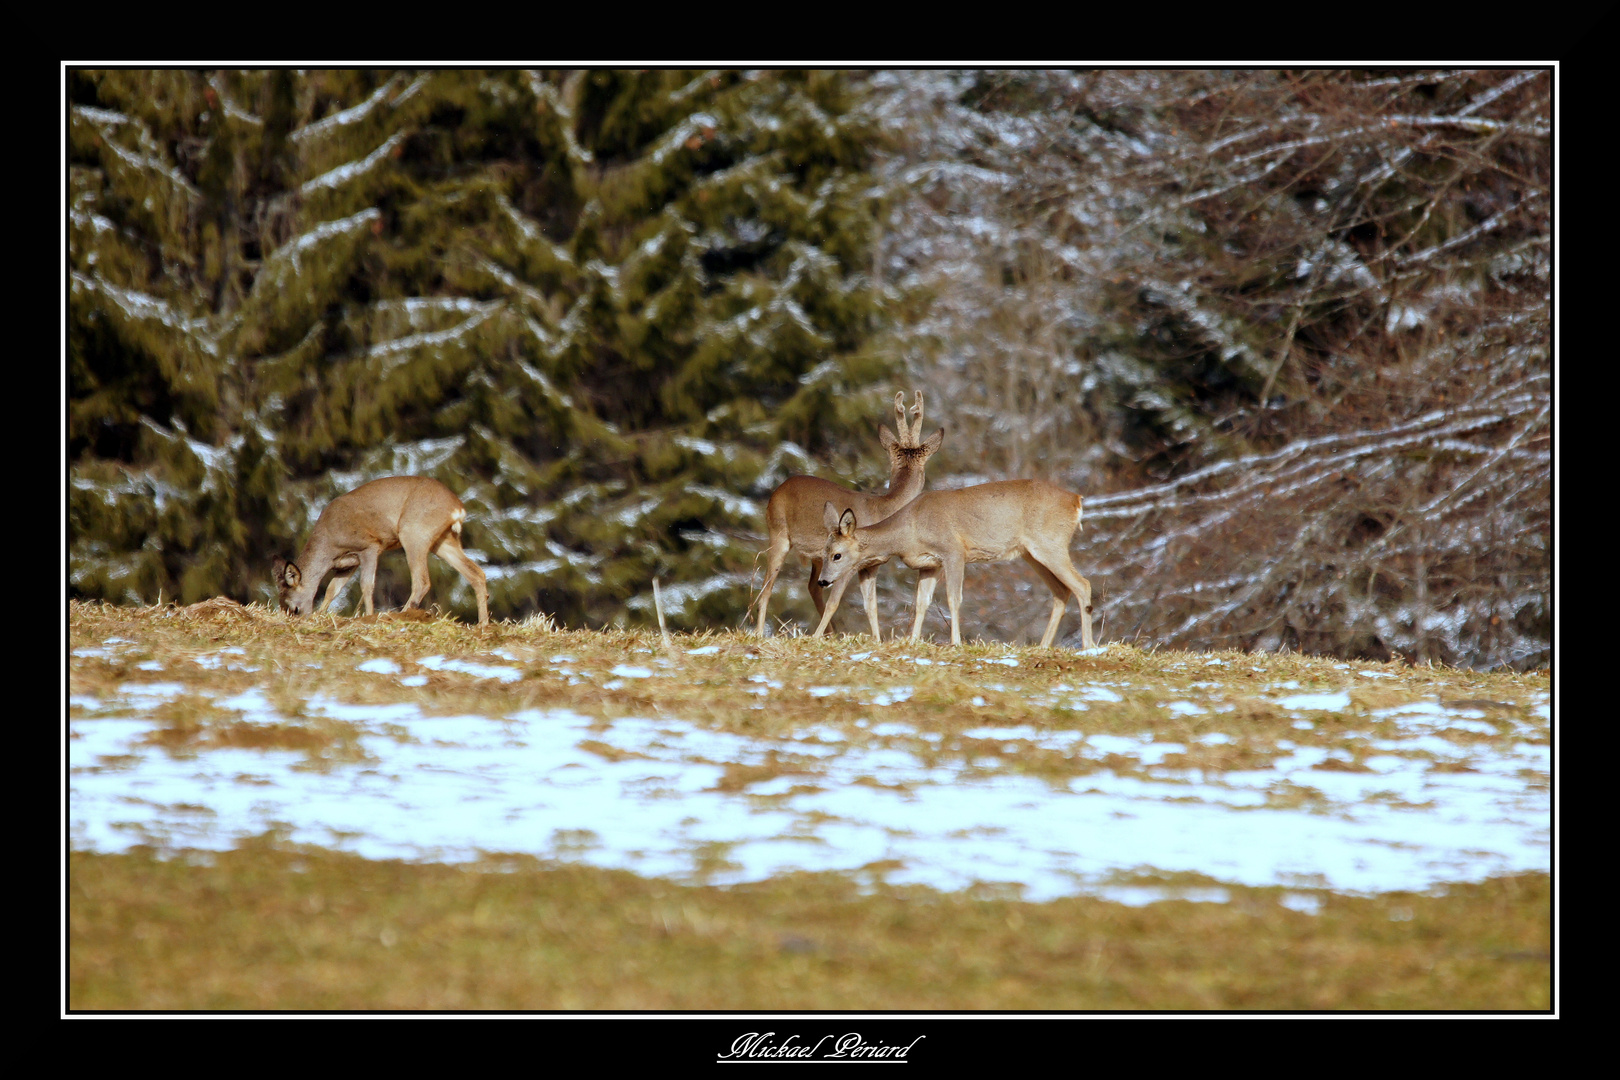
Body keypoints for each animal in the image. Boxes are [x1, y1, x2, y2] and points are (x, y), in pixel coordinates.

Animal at [273, 476, 486, 628]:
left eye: (294, 609)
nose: (297, 621)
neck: (329, 543)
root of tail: (457, 508)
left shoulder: (369, 546)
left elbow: (367, 585)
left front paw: (368, 616)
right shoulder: (347, 564)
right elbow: (332, 589)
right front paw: (320, 614)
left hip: (414, 533)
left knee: (422, 581)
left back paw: (398, 616)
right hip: (443, 541)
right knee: (476, 573)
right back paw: (483, 624)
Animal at [748, 390, 946, 637]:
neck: (882, 509)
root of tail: (777, 490)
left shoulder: (870, 565)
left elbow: (871, 606)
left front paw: (877, 640)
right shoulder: (846, 563)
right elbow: (835, 603)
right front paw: (815, 638)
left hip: (817, 556)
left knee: (812, 586)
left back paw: (831, 633)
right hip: (778, 534)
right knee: (766, 588)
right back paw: (759, 633)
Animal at [816, 482, 1095, 650]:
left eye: (837, 555)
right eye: (824, 552)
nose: (823, 581)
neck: (909, 530)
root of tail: (1077, 500)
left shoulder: (954, 551)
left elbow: (953, 598)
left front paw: (956, 642)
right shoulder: (929, 565)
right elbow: (921, 601)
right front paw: (913, 641)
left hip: (1050, 544)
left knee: (1083, 584)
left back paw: (1088, 646)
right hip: (1031, 553)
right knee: (1062, 591)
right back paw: (1043, 646)